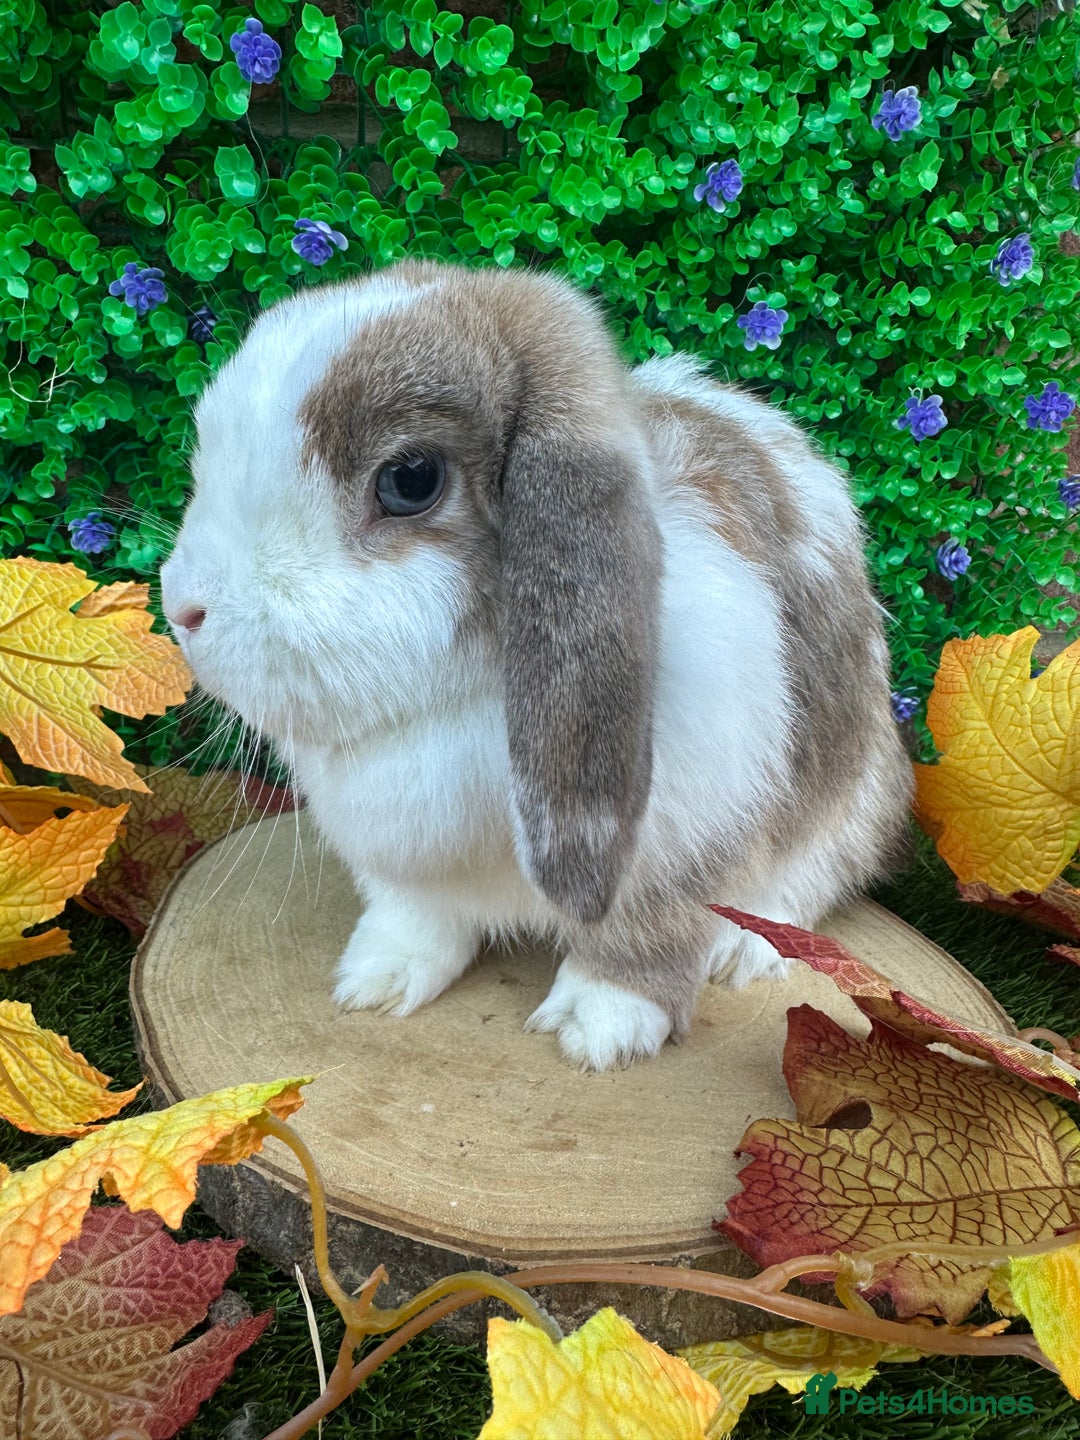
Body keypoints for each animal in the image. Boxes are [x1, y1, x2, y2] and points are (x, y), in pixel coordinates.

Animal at [160, 256, 914, 1070]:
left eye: (410, 479)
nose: (182, 607)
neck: (465, 702)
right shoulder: (404, 865)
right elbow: (415, 920)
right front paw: (377, 981)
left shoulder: (688, 845)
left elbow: (648, 936)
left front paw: (598, 1029)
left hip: (850, 798)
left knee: (805, 885)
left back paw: (745, 950)